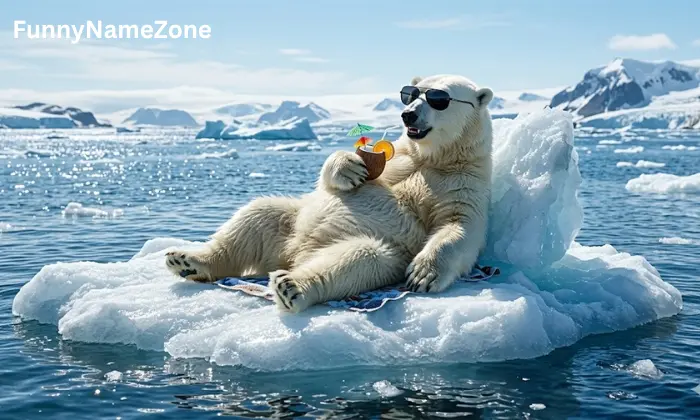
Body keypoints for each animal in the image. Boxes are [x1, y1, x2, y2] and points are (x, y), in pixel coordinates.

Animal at [165, 74, 494, 313]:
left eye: (440, 99)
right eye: (411, 94)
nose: (408, 115)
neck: (432, 158)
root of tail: (294, 255)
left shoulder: (464, 182)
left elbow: (459, 226)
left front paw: (424, 274)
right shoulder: (399, 156)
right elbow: (333, 179)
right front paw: (349, 168)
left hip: (389, 254)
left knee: (359, 258)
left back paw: (292, 285)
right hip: (291, 222)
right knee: (258, 215)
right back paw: (187, 258)